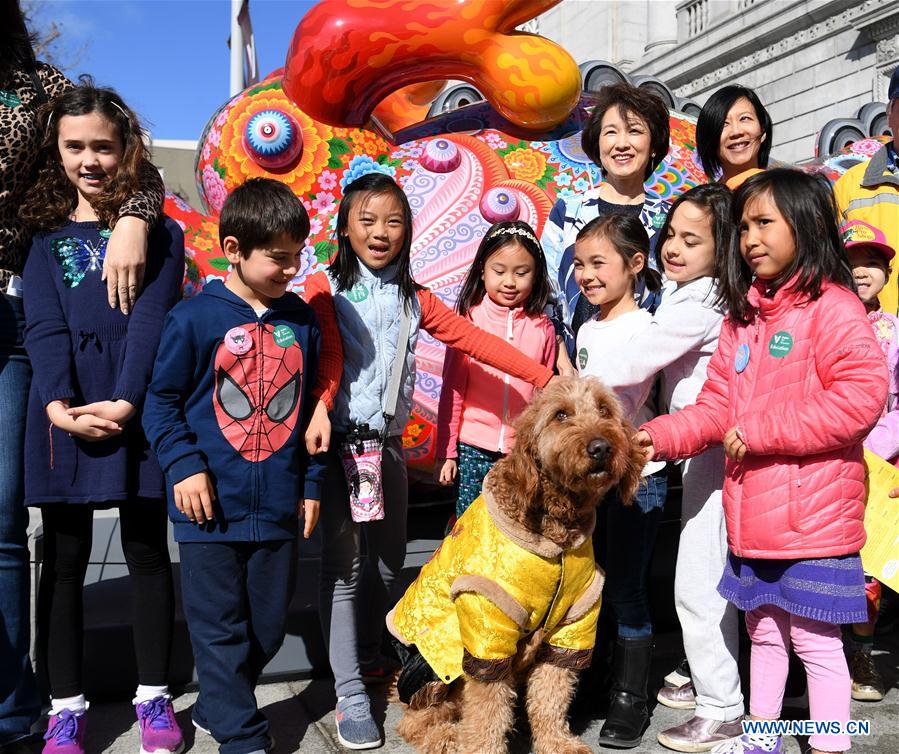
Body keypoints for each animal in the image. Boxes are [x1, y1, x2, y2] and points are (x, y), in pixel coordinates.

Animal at [390, 376, 644, 752]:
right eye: (561, 414)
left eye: (604, 410)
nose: (601, 448)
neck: (556, 533)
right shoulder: (488, 626)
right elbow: (487, 713)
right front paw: (483, 748)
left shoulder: (573, 623)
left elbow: (551, 697)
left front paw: (556, 742)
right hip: (431, 669)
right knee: (416, 719)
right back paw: (447, 737)